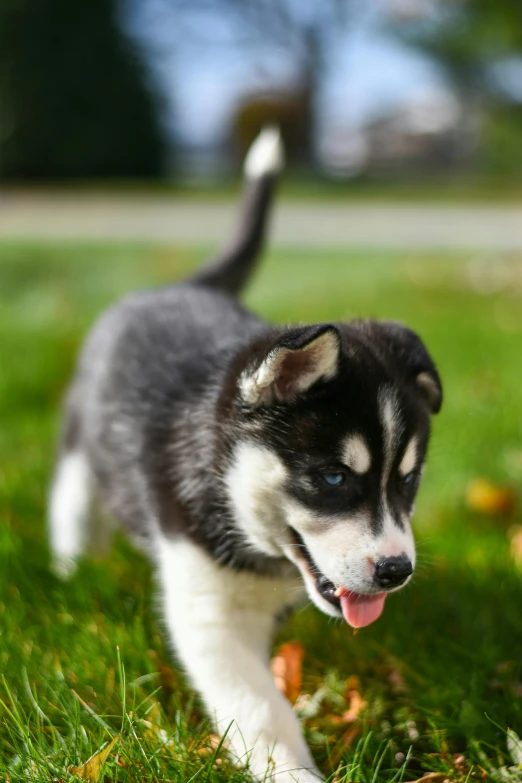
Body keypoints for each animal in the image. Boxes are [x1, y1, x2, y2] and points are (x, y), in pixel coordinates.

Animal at [47, 130, 438, 783]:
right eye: (333, 477)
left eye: (407, 481)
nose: (396, 571)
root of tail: (188, 285)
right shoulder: (209, 613)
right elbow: (259, 705)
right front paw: (291, 771)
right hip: (79, 450)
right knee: (74, 511)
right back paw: (74, 571)